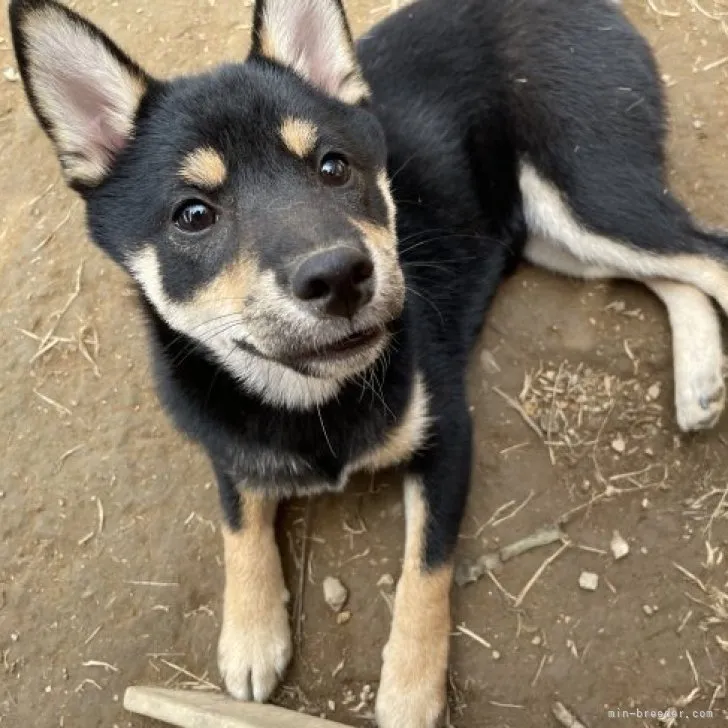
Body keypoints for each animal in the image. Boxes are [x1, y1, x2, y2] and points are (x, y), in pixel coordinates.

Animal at [9, 0, 728, 724]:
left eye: (333, 167)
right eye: (192, 214)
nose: (339, 276)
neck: (311, 397)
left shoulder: (448, 437)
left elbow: (424, 573)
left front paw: (409, 690)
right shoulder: (227, 446)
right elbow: (239, 524)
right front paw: (251, 634)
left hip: (585, 192)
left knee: (707, 255)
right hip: (551, 235)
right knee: (673, 273)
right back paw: (698, 380)